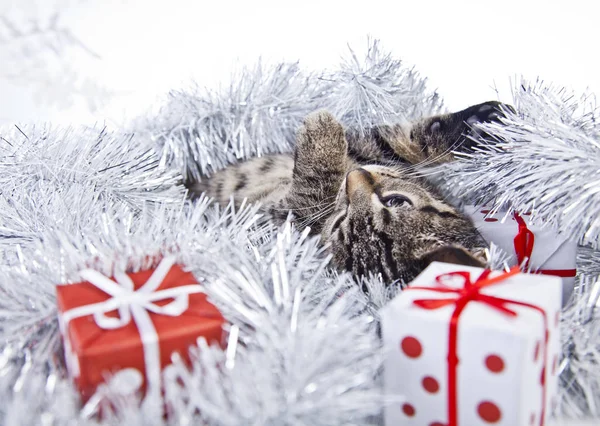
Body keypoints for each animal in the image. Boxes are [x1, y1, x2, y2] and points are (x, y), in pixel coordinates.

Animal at [190, 101, 508, 284]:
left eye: (340, 226)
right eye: (396, 201)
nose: (354, 178)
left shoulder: (279, 219)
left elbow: (309, 193)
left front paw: (321, 130)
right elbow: (407, 139)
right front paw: (478, 123)